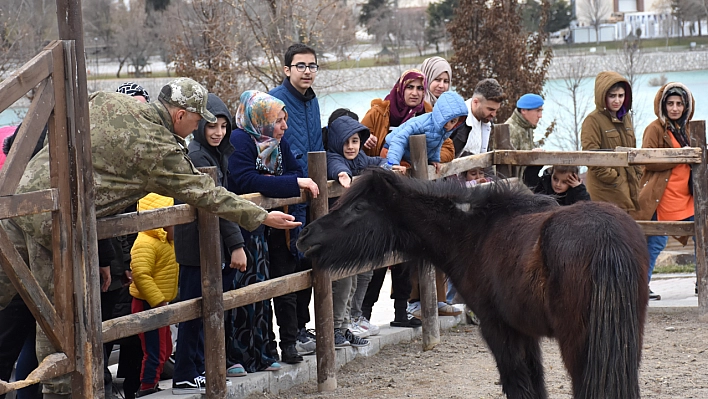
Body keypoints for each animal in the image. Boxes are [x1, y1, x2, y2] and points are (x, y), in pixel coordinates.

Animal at [296, 170, 648, 399]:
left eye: (358, 207)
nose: (305, 234)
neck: (473, 233)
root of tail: (606, 238)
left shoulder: (498, 330)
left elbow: (519, 385)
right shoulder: (523, 333)